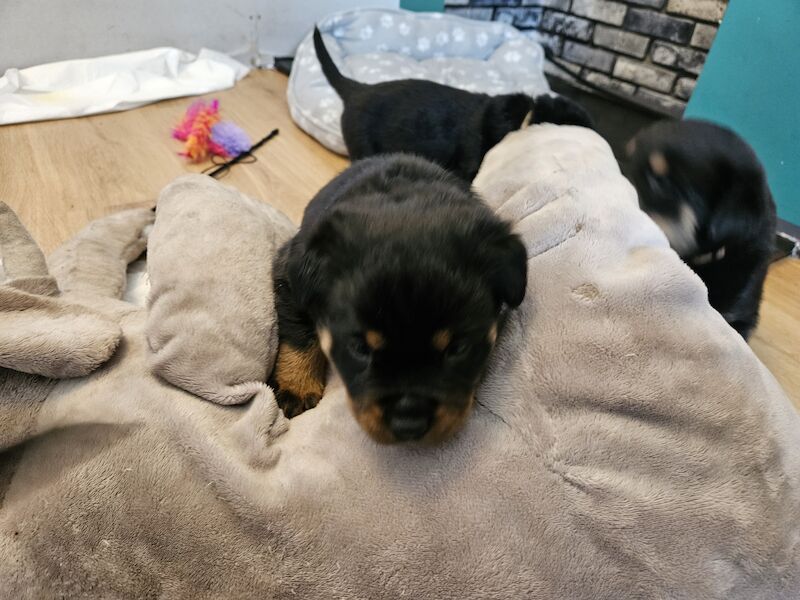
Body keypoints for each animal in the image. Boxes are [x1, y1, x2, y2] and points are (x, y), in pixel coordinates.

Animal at [272, 154, 528, 446]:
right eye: (360, 348)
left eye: (458, 348)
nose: (409, 425)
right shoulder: (288, 276)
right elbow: (299, 334)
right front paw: (297, 388)